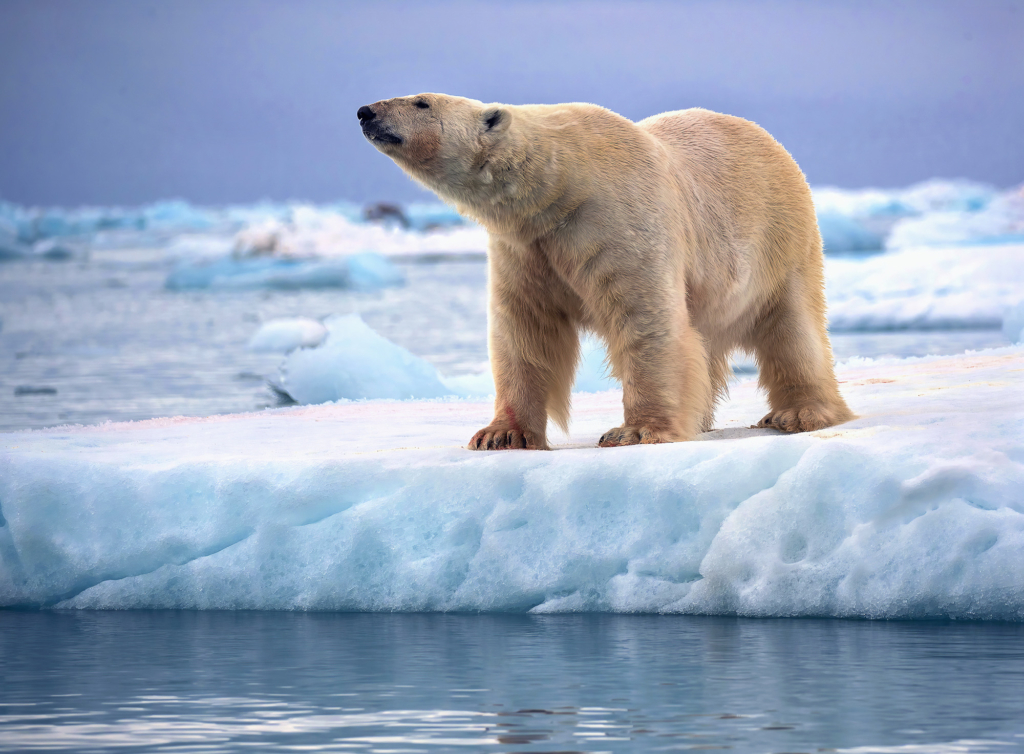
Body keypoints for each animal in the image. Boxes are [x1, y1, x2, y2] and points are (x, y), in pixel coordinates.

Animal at [356, 92, 851, 446]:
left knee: (793, 328)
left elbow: (646, 320)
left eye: (422, 102)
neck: (557, 185)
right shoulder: (523, 247)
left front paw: (633, 431)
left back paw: (798, 413)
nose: (366, 112)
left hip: (780, 238)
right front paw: (500, 434)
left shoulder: (616, 218)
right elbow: (524, 330)